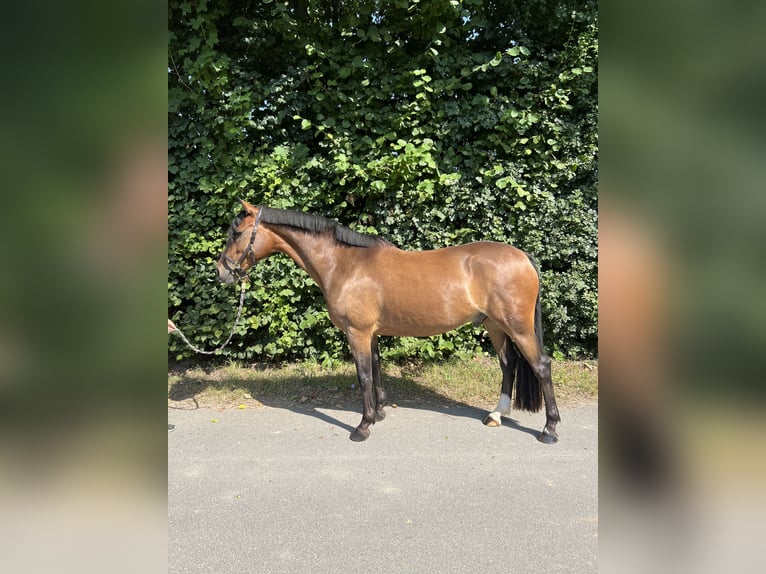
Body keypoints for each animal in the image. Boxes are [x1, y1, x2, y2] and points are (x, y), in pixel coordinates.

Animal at [213, 201, 560, 446]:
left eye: (237, 233)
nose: (221, 272)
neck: (345, 264)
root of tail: (524, 257)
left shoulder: (357, 333)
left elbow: (364, 376)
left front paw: (363, 426)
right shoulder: (372, 334)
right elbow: (377, 370)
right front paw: (379, 413)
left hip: (516, 326)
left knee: (541, 365)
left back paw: (549, 429)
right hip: (495, 326)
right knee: (508, 364)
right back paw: (496, 415)